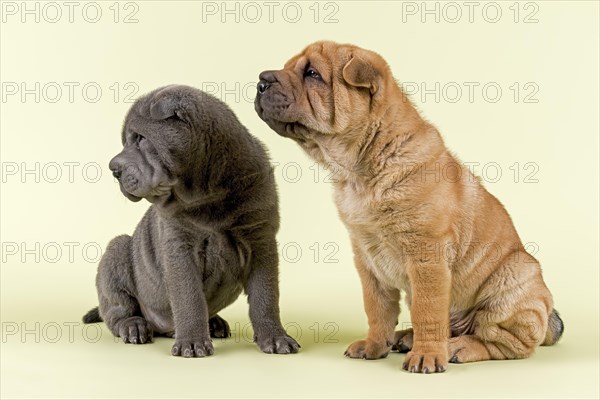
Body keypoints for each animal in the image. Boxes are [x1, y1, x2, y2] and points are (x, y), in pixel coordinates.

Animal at [83, 84, 298, 356]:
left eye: (141, 139)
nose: (113, 168)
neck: (208, 192)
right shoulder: (179, 245)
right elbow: (189, 297)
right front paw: (193, 344)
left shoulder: (260, 240)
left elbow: (266, 296)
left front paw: (277, 338)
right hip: (118, 250)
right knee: (117, 311)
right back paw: (135, 327)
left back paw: (214, 323)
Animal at [255, 39, 564, 372]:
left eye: (312, 73)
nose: (261, 80)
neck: (362, 169)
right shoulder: (367, 257)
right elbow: (377, 308)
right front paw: (374, 345)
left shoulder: (426, 254)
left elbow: (428, 311)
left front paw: (427, 355)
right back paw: (406, 337)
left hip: (512, 281)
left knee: (505, 343)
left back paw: (457, 347)